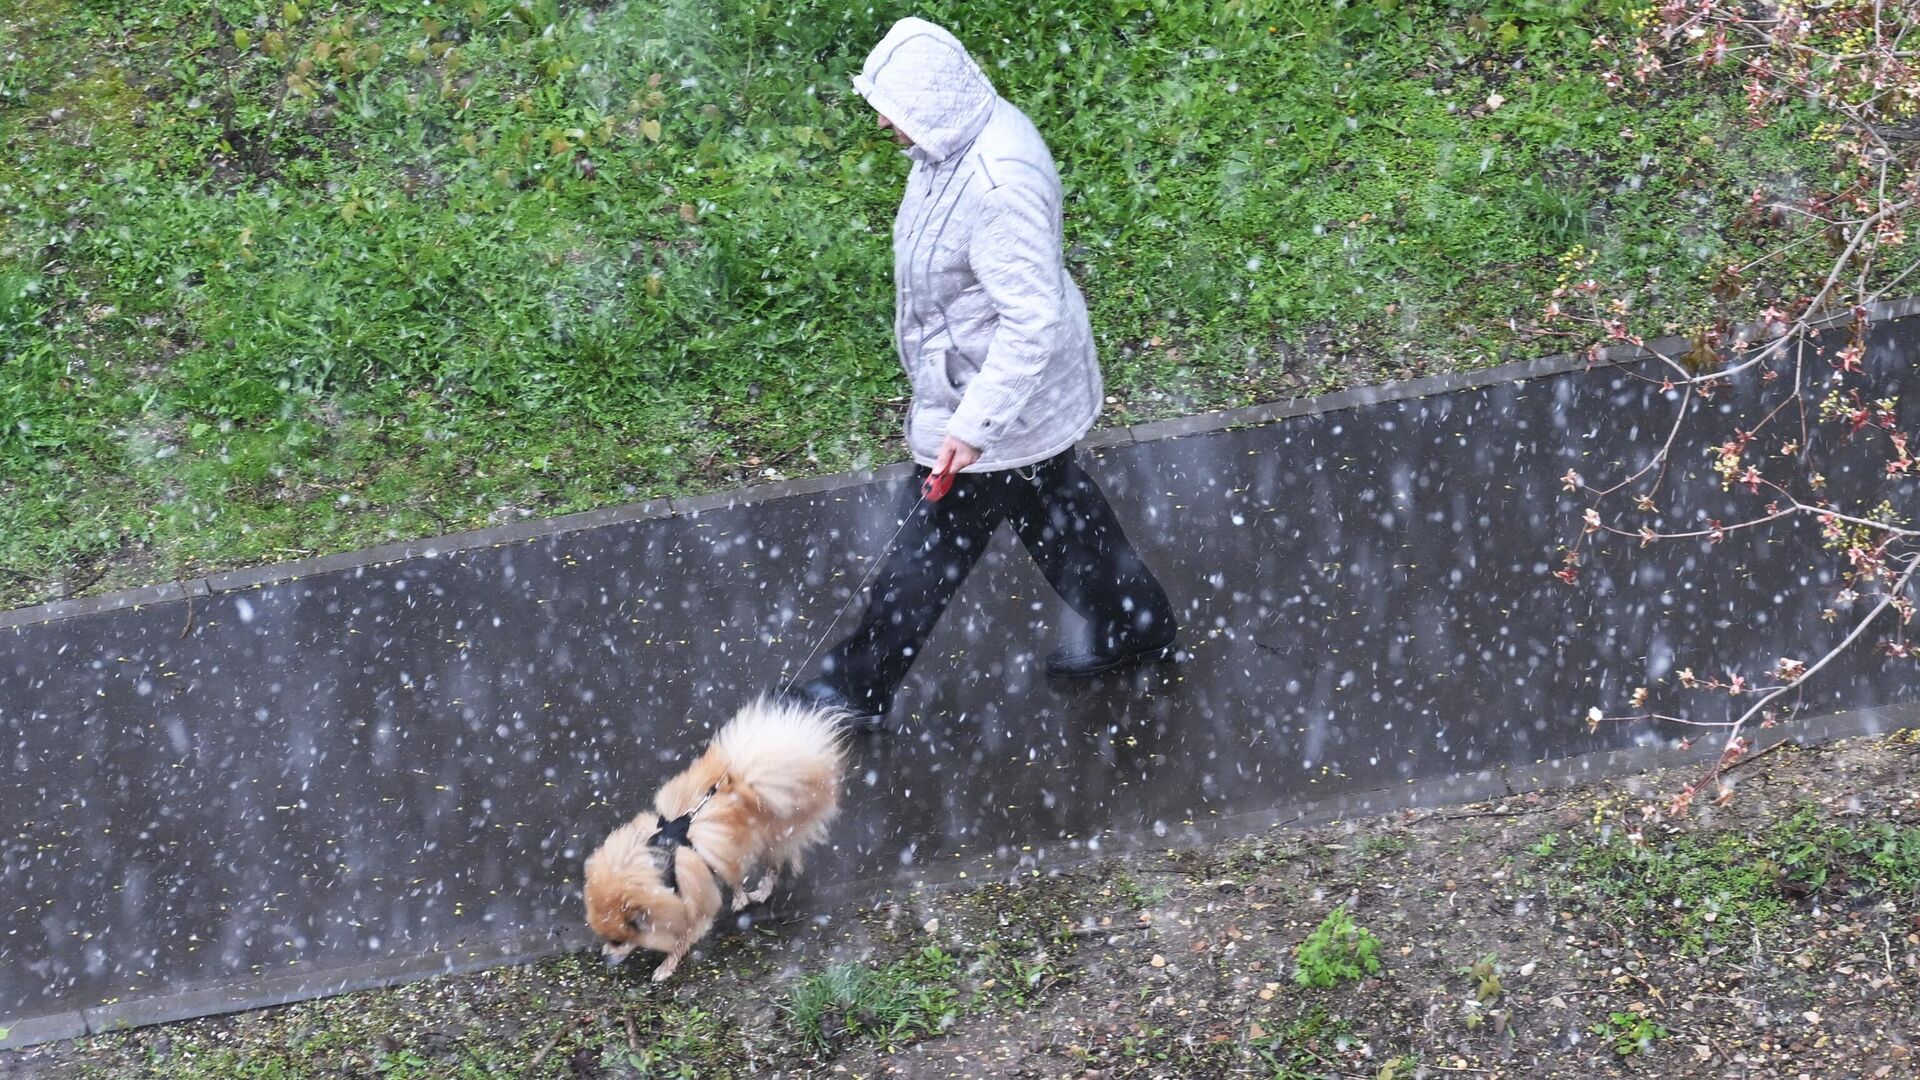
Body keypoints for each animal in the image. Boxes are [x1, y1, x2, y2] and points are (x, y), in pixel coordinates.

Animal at [579, 691, 844, 980]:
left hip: (770, 839)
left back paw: (759, 890)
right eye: (605, 939)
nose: (605, 957)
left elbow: (683, 938)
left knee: (774, 865)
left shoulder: (694, 906)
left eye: (618, 940)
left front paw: (666, 967)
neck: (653, 869)